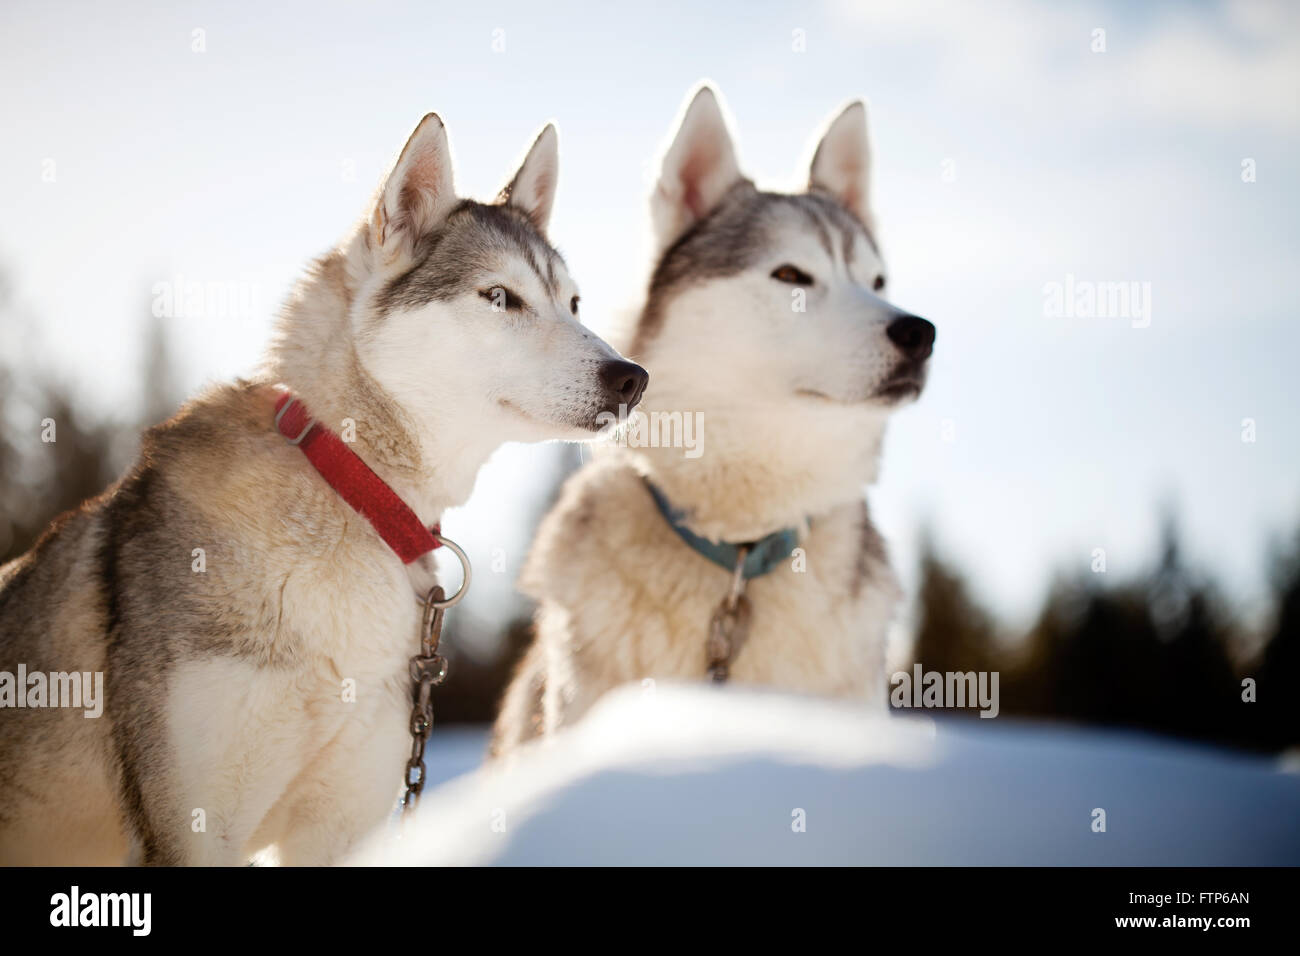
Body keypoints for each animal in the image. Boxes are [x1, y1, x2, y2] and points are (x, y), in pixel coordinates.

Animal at [0, 111, 650, 868]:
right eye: (499, 297)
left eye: (572, 303)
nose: (632, 376)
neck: (351, 491)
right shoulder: (192, 827)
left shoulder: (344, 821)